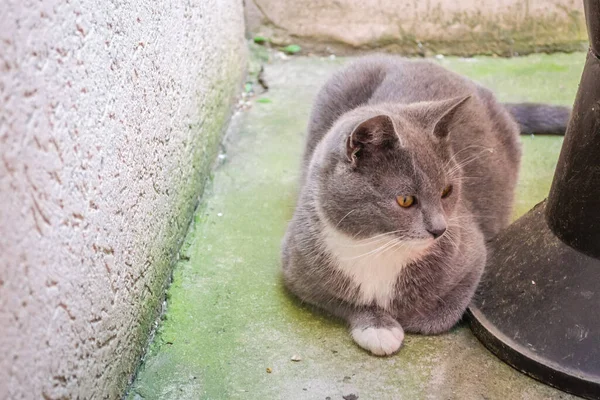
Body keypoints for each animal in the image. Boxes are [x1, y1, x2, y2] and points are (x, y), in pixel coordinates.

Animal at [278, 54, 568, 356]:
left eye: (447, 191)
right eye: (405, 199)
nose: (440, 229)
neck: (378, 246)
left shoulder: (474, 254)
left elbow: (442, 311)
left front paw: (403, 316)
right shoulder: (297, 268)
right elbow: (343, 299)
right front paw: (378, 326)